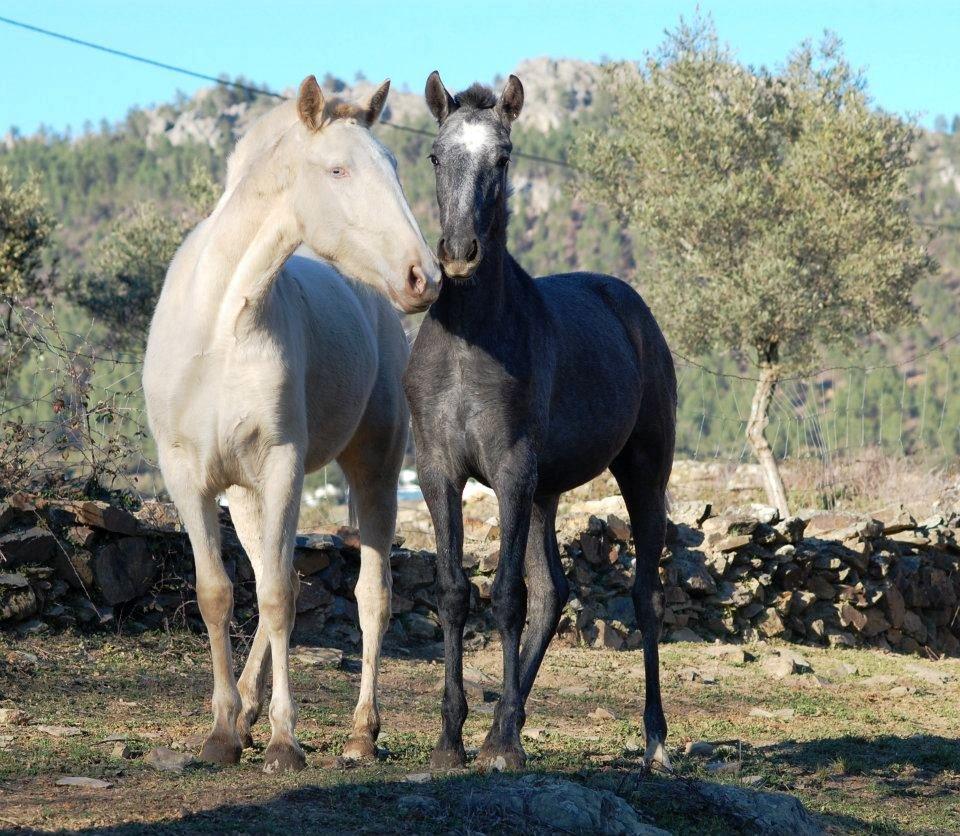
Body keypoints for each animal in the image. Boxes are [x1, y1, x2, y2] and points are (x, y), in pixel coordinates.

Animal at [142, 75, 438, 772]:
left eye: (393, 164)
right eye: (338, 169)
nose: (424, 276)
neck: (221, 324)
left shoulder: (281, 466)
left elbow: (277, 597)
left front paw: (284, 742)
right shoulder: (188, 477)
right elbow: (219, 593)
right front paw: (223, 733)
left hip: (373, 469)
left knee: (368, 595)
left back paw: (360, 732)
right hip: (247, 496)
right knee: (277, 577)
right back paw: (247, 712)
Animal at [402, 72, 680, 772]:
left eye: (503, 158)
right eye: (436, 157)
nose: (458, 253)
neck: (472, 339)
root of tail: (634, 308)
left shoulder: (509, 471)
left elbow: (506, 598)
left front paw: (500, 745)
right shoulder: (440, 472)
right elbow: (453, 593)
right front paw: (452, 741)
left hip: (640, 474)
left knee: (645, 596)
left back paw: (654, 742)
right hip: (543, 494)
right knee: (554, 592)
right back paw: (507, 719)